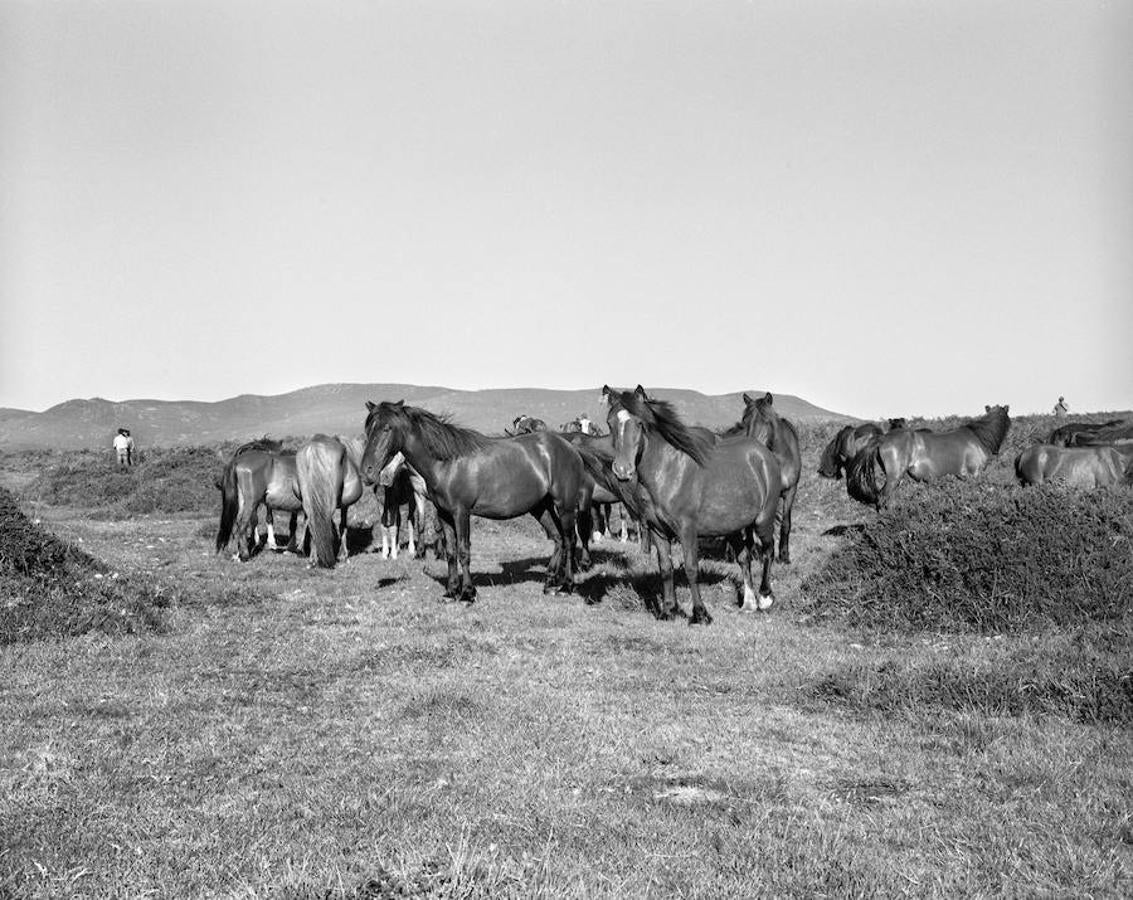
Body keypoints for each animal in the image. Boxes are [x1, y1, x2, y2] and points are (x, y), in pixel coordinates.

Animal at [296, 432, 362, 564]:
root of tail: (314, 448)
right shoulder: (345, 505)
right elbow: (342, 526)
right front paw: (343, 554)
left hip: (308, 499)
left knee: (312, 523)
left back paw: (313, 558)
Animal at [360, 401, 584, 598]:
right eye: (368, 429)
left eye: (387, 428)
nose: (367, 472)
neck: (447, 463)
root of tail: (569, 447)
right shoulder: (444, 513)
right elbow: (450, 551)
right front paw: (451, 591)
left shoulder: (461, 512)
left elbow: (463, 550)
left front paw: (468, 592)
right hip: (540, 507)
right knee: (557, 538)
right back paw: (550, 583)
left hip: (564, 506)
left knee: (569, 540)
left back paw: (566, 586)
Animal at [602, 383, 779, 625]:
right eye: (610, 423)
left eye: (639, 423)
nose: (622, 471)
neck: (668, 471)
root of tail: (762, 454)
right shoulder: (658, 531)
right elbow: (666, 568)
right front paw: (668, 610)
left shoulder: (687, 530)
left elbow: (691, 568)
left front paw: (700, 614)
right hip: (735, 526)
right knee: (744, 558)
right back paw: (749, 604)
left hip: (763, 520)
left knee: (768, 551)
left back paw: (765, 598)